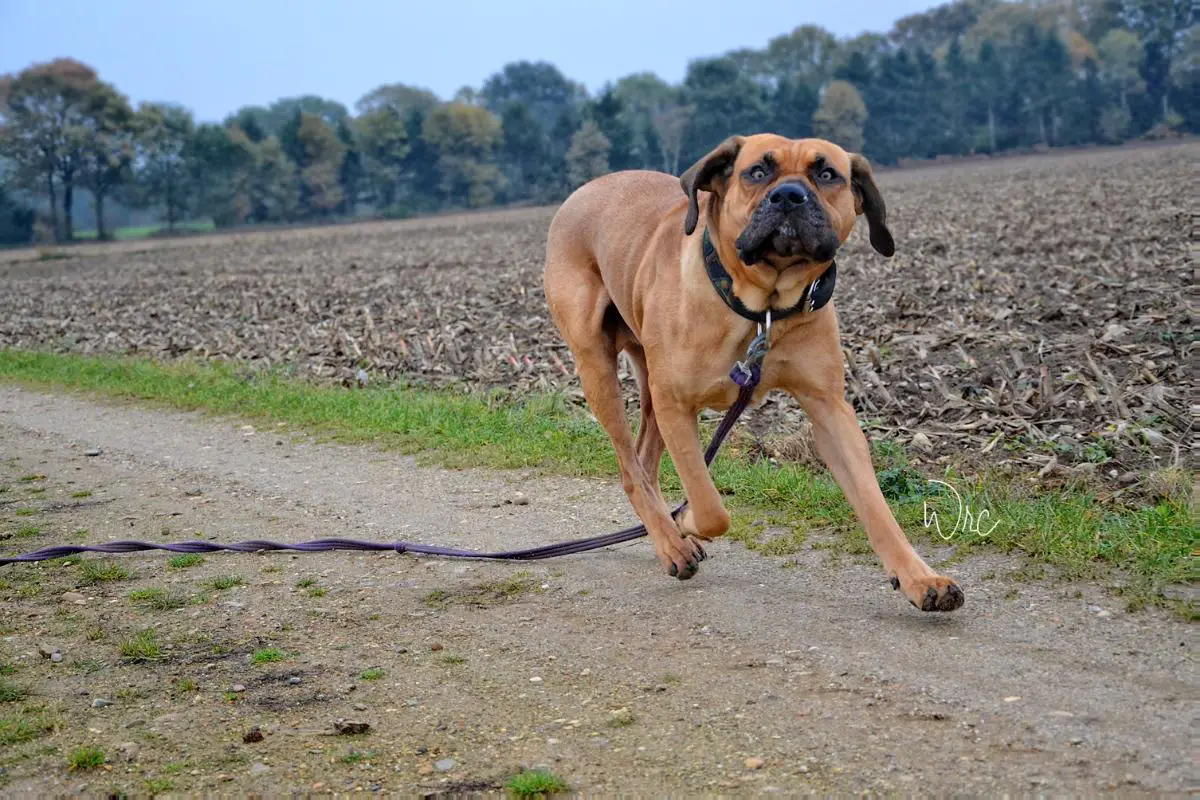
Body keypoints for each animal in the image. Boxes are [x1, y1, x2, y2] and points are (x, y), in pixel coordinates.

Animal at [544, 134, 964, 609]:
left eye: (826, 174)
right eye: (758, 172)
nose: (789, 196)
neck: (764, 305)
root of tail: (584, 190)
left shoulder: (830, 408)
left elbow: (875, 505)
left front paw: (919, 578)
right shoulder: (676, 404)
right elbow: (711, 508)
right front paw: (685, 519)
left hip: (647, 382)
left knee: (645, 464)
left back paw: (666, 538)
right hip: (597, 367)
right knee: (631, 470)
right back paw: (673, 542)